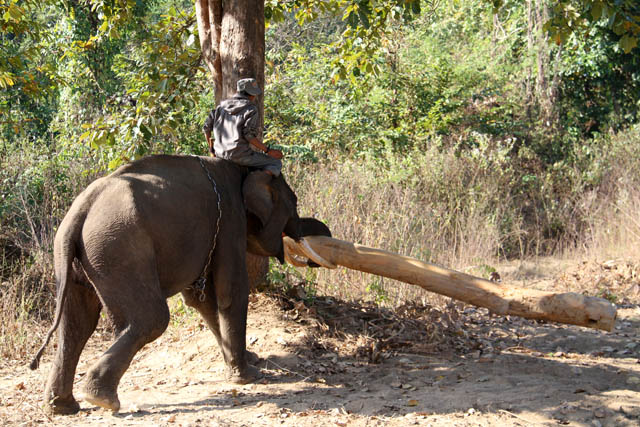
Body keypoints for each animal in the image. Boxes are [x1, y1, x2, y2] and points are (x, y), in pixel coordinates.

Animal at [29, 154, 333, 415]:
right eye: (294, 203)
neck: (243, 170)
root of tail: (80, 210)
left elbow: (201, 300)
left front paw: (250, 359)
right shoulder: (230, 219)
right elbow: (230, 291)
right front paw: (249, 376)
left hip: (80, 257)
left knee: (76, 325)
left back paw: (63, 407)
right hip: (119, 249)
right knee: (152, 318)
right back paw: (101, 399)